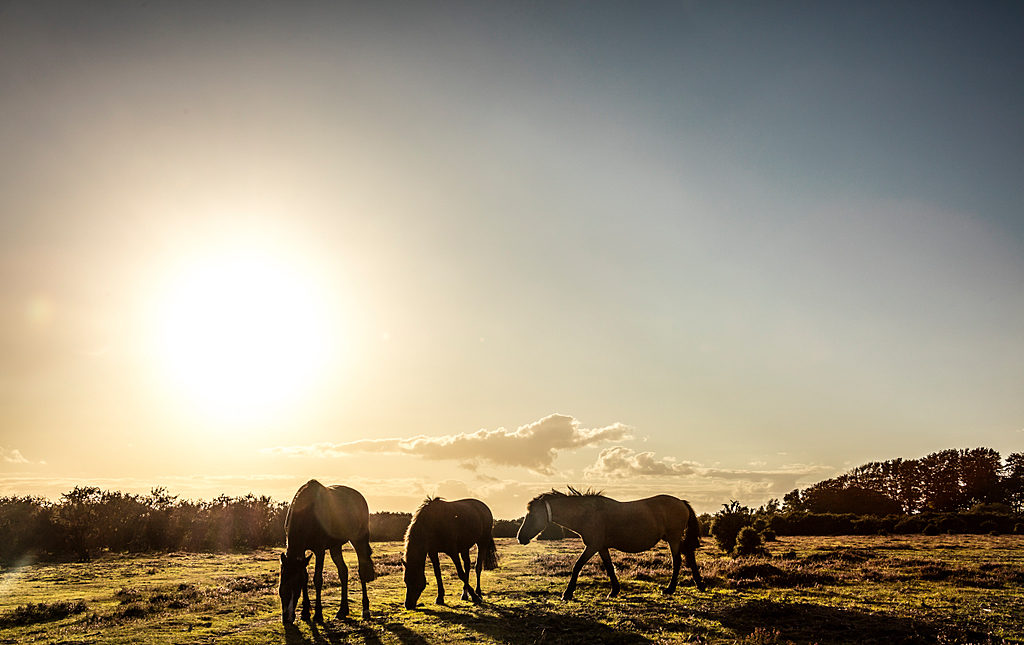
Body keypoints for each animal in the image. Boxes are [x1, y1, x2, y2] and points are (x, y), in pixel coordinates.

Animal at [278, 481, 378, 626]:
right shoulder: (302, 553)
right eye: (281, 587)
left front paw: (318, 614)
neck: (308, 514)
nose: (286, 618)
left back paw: (365, 610)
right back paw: (342, 611)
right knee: (343, 572)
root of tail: (359, 496)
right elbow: (305, 577)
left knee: (362, 571)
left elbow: (317, 579)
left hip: (358, 539)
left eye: (294, 587)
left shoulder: (319, 550)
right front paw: (305, 613)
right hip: (335, 546)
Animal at [516, 487, 708, 606]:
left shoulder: (592, 546)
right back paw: (699, 584)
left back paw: (670, 589)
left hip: (673, 539)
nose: (520, 537)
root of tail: (681, 502)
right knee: (689, 556)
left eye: (531, 514)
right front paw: (614, 590)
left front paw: (567, 593)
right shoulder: (601, 547)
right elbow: (609, 567)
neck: (587, 514)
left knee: (678, 561)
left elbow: (577, 566)